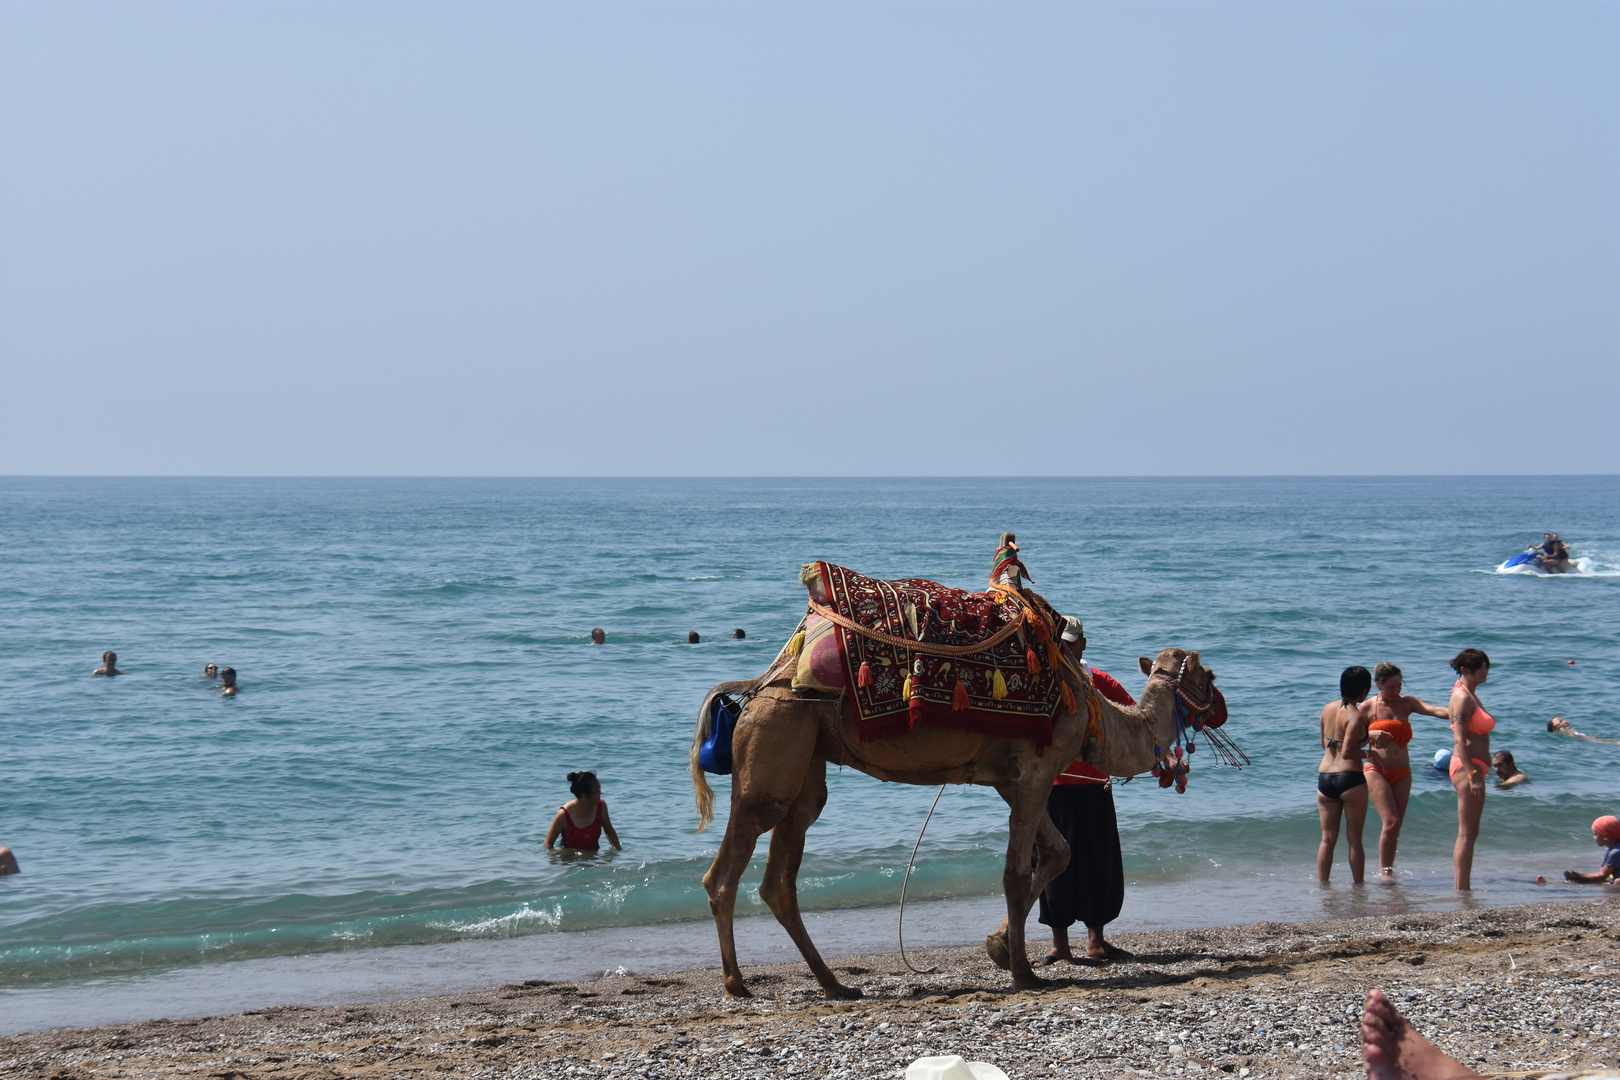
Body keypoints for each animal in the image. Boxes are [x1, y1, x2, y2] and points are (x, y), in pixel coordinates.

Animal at [686, 634, 1224, 997]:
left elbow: (1058, 852)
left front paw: (999, 947)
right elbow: (1015, 871)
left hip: (805, 758)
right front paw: (1024, 972)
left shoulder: (1012, 778)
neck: (1094, 712)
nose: (1221, 708)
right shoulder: (1036, 769)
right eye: (1210, 676)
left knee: (781, 871)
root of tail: (755, 689)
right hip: (777, 741)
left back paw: (836, 984)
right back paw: (737, 983)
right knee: (729, 866)